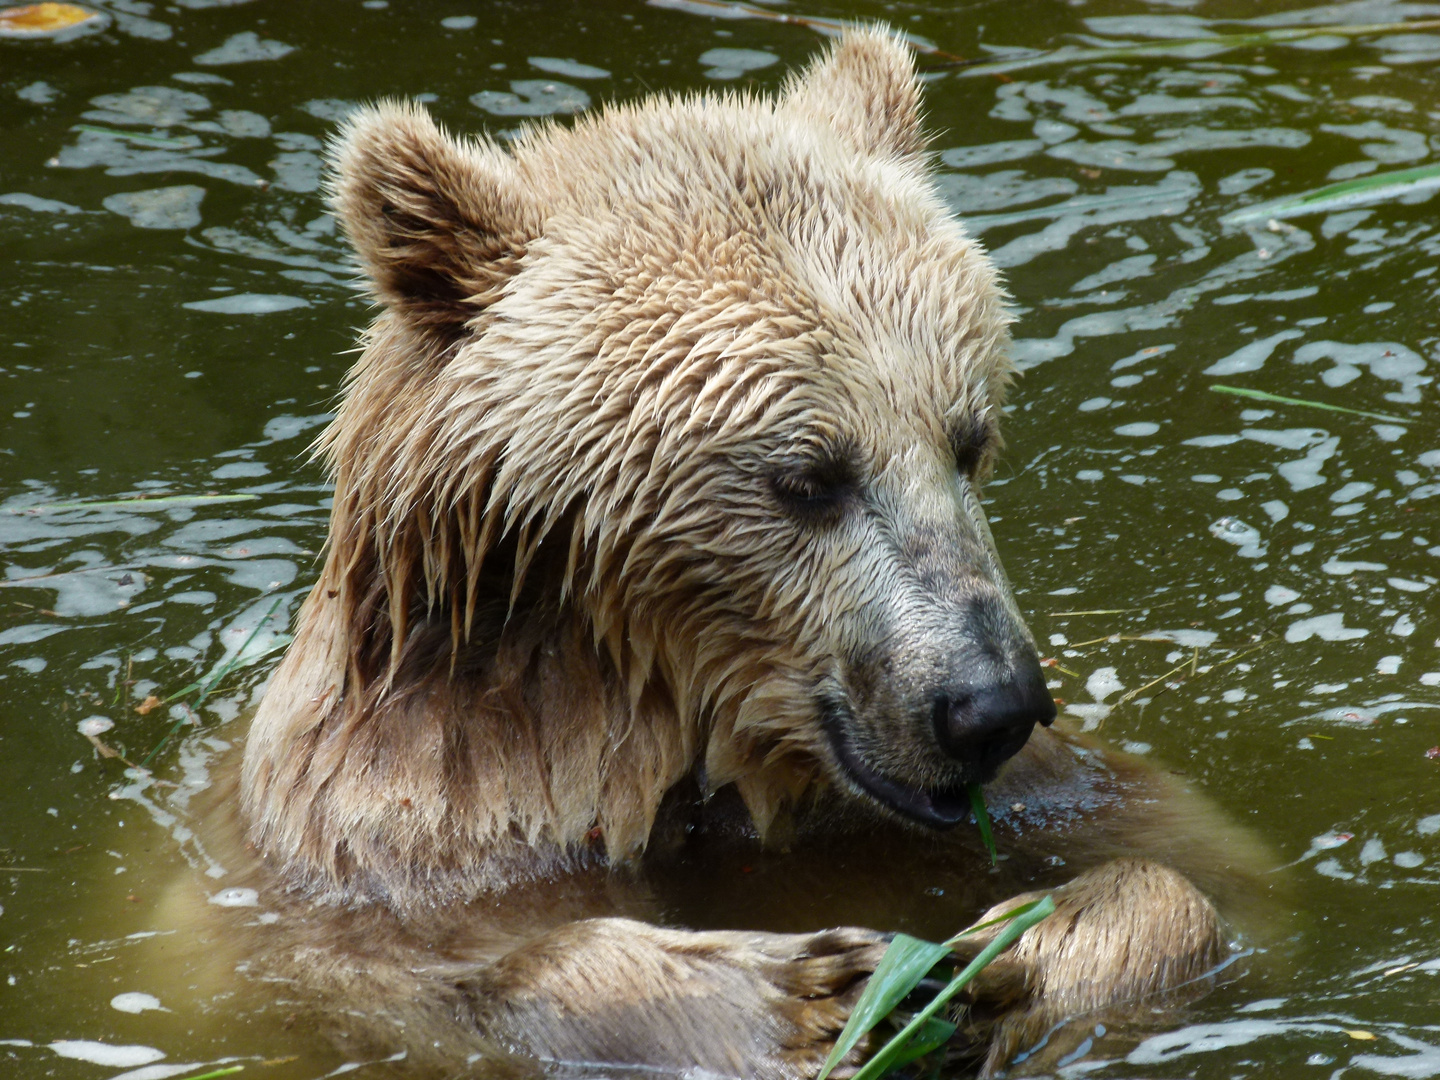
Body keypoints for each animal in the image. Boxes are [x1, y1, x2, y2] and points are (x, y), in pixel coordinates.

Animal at [224, 27, 1261, 1080]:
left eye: (968, 440)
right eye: (808, 477)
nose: (990, 705)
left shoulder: (1027, 793)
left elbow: (1208, 871)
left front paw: (1001, 956)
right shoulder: (408, 838)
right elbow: (438, 975)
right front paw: (813, 993)